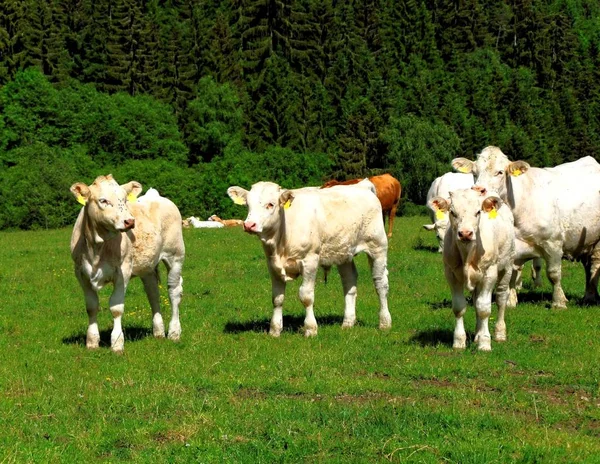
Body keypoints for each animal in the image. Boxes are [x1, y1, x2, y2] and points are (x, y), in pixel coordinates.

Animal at [70, 176, 184, 354]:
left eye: (124, 200)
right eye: (103, 200)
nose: (130, 221)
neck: (96, 247)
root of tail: (155, 196)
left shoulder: (122, 272)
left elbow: (116, 307)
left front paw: (117, 343)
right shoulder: (81, 274)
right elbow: (91, 306)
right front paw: (92, 342)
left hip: (175, 256)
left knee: (174, 292)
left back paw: (174, 332)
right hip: (147, 268)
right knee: (153, 294)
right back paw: (158, 332)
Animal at [227, 179, 392, 336]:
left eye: (270, 204)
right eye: (248, 205)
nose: (249, 225)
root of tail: (362, 185)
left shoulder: (310, 260)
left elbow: (306, 296)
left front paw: (310, 329)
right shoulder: (272, 264)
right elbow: (277, 298)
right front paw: (274, 331)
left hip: (378, 246)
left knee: (381, 284)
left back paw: (384, 323)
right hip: (343, 252)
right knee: (349, 282)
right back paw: (347, 323)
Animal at [436, 187, 516, 350]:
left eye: (478, 212)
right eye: (452, 212)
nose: (465, 233)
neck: (468, 253)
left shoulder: (489, 273)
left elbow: (484, 308)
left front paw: (485, 343)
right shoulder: (451, 274)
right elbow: (459, 307)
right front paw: (459, 341)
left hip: (507, 267)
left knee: (501, 298)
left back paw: (499, 333)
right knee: (476, 300)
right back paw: (478, 334)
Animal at [452, 147, 600, 308]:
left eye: (500, 172)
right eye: (474, 172)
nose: (478, 190)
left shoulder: (553, 243)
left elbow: (554, 274)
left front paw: (559, 302)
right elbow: (512, 273)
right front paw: (510, 301)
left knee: (594, 266)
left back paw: (590, 297)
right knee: (588, 267)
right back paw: (590, 296)